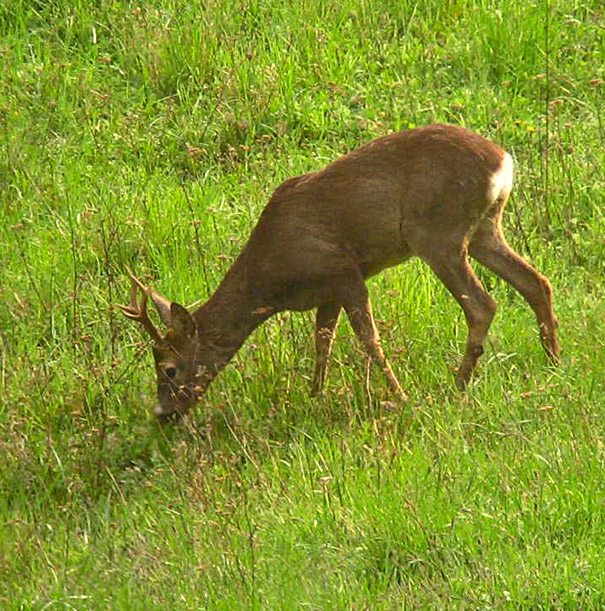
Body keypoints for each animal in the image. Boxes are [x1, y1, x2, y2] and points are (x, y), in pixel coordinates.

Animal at [119, 123, 560, 420]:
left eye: (169, 368)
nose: (162, 414)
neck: (270, 281)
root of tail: (503, 160)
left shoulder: (344, 273)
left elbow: (369, 341)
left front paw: (399, 396)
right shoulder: (326, 292)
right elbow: (323, 342)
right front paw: (314, 396)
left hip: (438, 233)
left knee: (483, 305)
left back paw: (459, 383)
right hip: (484, 228)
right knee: (536, 282)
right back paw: (553, 361)